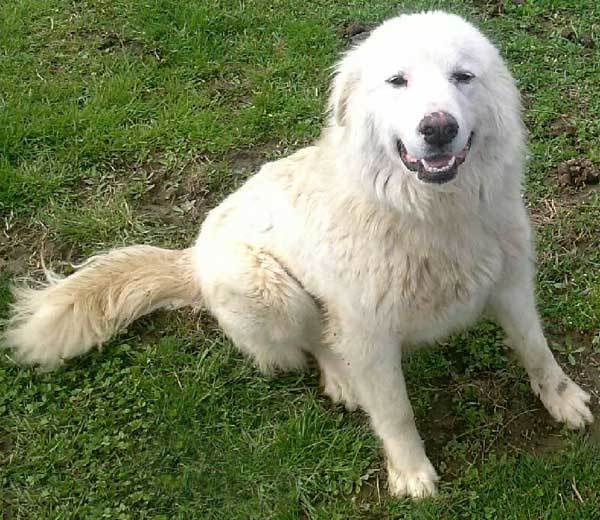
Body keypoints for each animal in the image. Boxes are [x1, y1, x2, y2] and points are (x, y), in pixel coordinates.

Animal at [2, 12, 592, 498]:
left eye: (463, 77)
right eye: (397, 81)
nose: (438, 127)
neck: (430, 214)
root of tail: (190, 257)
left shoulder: (511, 286)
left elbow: (538, 353)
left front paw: (563, 401)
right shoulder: (370, 334)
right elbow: (395, 412)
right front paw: (410, 473)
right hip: (271, 288)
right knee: (318, 341)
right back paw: (342, 380)